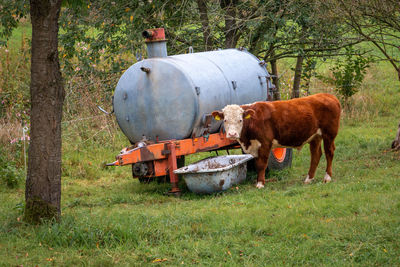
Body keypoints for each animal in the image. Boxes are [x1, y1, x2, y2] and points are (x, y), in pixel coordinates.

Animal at [212, 93, 340, 188]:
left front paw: (260, 184)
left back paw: (327, 178)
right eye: (225, 120)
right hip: (315, 136)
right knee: (316, 155)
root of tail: (328, 95)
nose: (232, 134)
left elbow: (261, 164)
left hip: (329, 134)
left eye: (240, 120)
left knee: (329, 152)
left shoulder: (264, 143)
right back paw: (309, 179)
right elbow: (257, 164)